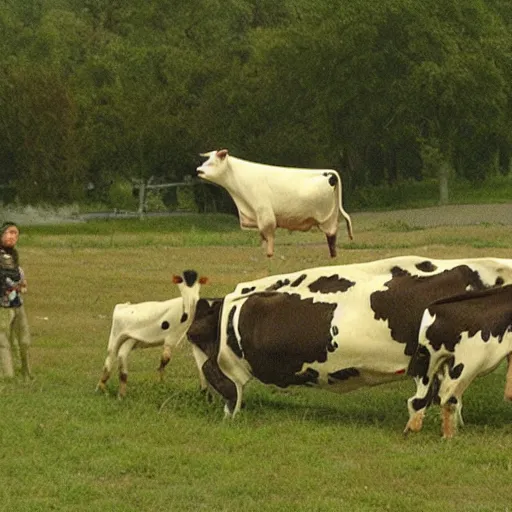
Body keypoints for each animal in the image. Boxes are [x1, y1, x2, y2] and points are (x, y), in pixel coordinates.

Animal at [97, 270, 207, 398]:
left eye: (198, 285)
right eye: (182, 283)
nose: (193, 301)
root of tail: (123, 305)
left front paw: (203, 390)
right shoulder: (171, 337)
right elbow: (165, 359)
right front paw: (161, 382)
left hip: (130, 339)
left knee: (119, 356)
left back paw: (115, 392)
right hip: (116, 337)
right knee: (111, 357)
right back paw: (106, 389)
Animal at [195, 150, 352, 258]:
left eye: (211, 163)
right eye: (205, 161)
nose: (198, 170)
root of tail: (327, 172)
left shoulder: (265, 213)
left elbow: (268, 234)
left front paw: (269, 255)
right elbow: (263, 236)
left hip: (326, 217)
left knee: (331, 236)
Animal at [404, 286, 512, 438]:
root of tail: (433, 309)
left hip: (429, 365)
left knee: (421, 399)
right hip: (464, 365)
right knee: (444, 397)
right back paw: (449, 436)